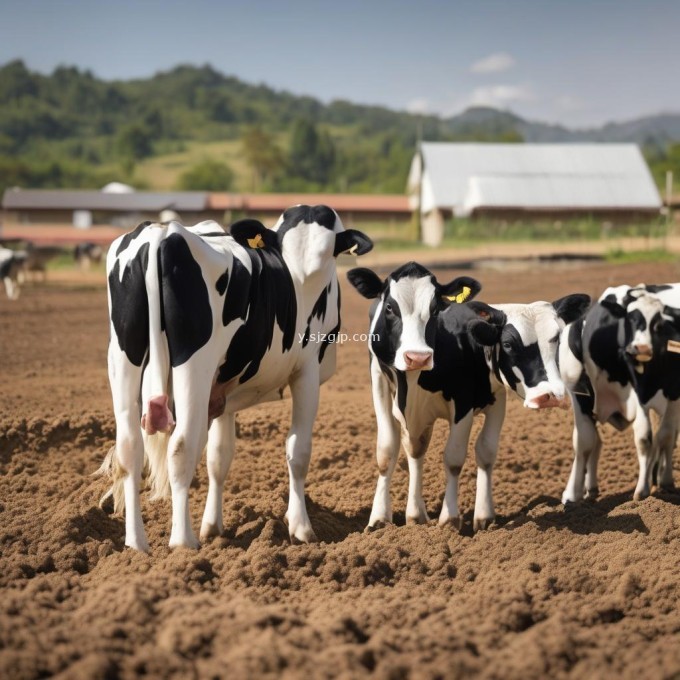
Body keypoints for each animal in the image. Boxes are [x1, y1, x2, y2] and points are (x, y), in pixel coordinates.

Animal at [103, 207, 374, 552]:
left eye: (327, 252)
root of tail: (162, 235)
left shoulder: (222, 392)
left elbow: (219, 457)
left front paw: (214, 528)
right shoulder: (307, 372)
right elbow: (298, 451)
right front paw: (301, 528)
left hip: (124, 356)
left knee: (130, 448)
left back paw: (136, 544)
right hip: (194, 364)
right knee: (181, 446)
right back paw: (182, 542)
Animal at [348, 262, 588, 532]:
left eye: (557, 340)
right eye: (507, 343)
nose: (550, 396)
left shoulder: (492, 397)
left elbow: (478, 453)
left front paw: (477, 517)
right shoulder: (379, 380)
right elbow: (387, 451)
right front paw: (380, 518)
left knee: (419, 450)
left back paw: (417, 515)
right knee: (414, 450)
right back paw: (414, 515)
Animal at [556, 282, 680, 504]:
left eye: (658, 324)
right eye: (631, 319)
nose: (641, 348)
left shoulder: (663, 392)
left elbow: (656, 437)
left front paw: (651, 487)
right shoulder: (581, 397)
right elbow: (585, 441)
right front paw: (572, 495)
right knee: (593, 442)